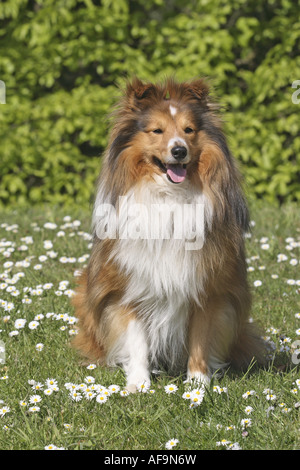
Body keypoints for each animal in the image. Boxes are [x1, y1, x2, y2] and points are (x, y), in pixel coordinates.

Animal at [73, 77, 264, 390]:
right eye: (157, 130)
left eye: (189, 130)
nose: (179, 151)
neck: (169, 195)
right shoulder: (130, 285)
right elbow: (136, 338)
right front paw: (139, 385)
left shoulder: (208, 288)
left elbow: (200, 339)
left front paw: (198, 385)